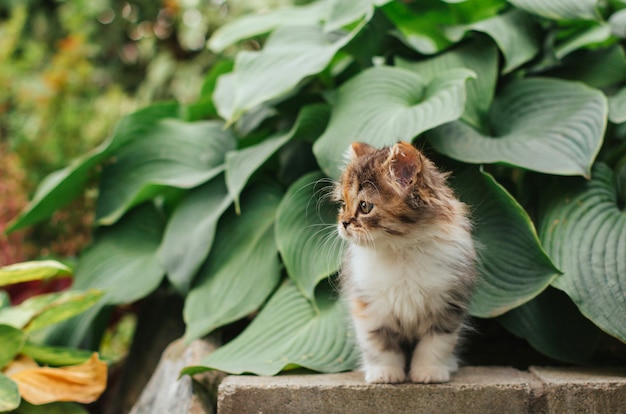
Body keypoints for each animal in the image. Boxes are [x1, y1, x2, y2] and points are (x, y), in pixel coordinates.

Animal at [336, 141, 472, 384]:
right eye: (343, 204)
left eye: (365, 206)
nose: (343, 222)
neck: (400, 250)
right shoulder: (369, 307)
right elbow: (379, 344)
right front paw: (385, 373)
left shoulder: (448, 303)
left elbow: (436, 343)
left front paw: (429, 372)